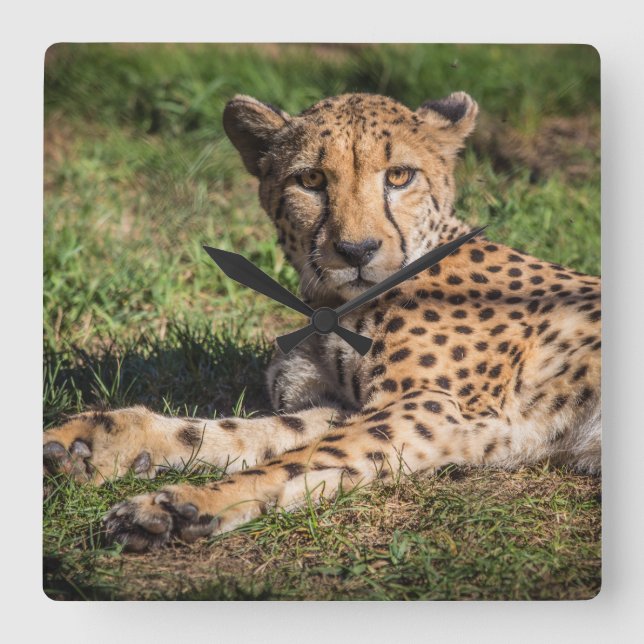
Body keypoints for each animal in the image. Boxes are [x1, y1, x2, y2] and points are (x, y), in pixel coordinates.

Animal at [43, 91, 601, 552]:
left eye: (399, 176)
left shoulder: (438, 409)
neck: (333, 307)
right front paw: (96, 442)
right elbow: (246, 434)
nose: (356, 250)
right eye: (310, 180)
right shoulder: (351, 406)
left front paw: (183, 503)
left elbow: (298, 457)